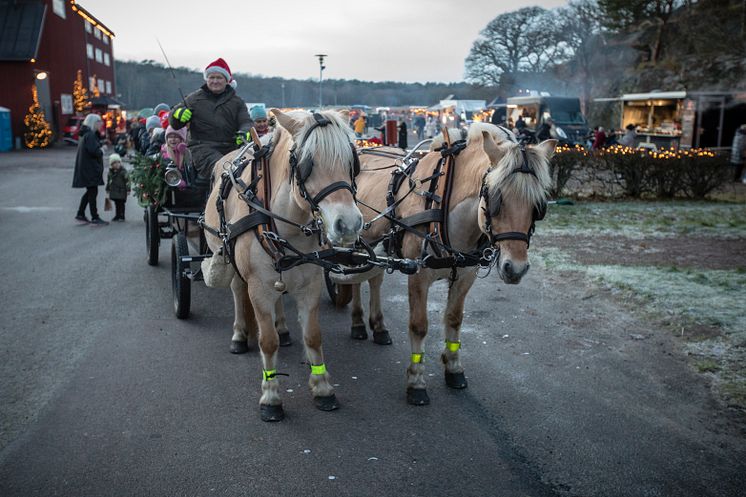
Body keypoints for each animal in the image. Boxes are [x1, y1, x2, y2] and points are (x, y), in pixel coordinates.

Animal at [202, 107, 364, 418]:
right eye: (306, 163)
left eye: (352, 161)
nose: (348, 224)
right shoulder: (257, 287)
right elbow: (267, 342)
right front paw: (271, 396)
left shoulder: (310, 283)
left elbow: (313, 336)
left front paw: (323, 388)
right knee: (237, 292)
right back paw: (239, 335)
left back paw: (283, 327)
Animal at [338, 122, 552, 404]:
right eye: (496, 198)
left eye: (539, 206)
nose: (515, 268)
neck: (443, 205)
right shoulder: (417, 275)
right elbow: (419, 326)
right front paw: (416, 381)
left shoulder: (465, 275)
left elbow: (454, 320)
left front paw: (453, 368)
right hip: (354, 242)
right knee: (354, 276)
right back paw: (358, 322)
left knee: (374, 279)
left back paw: (379, 326)